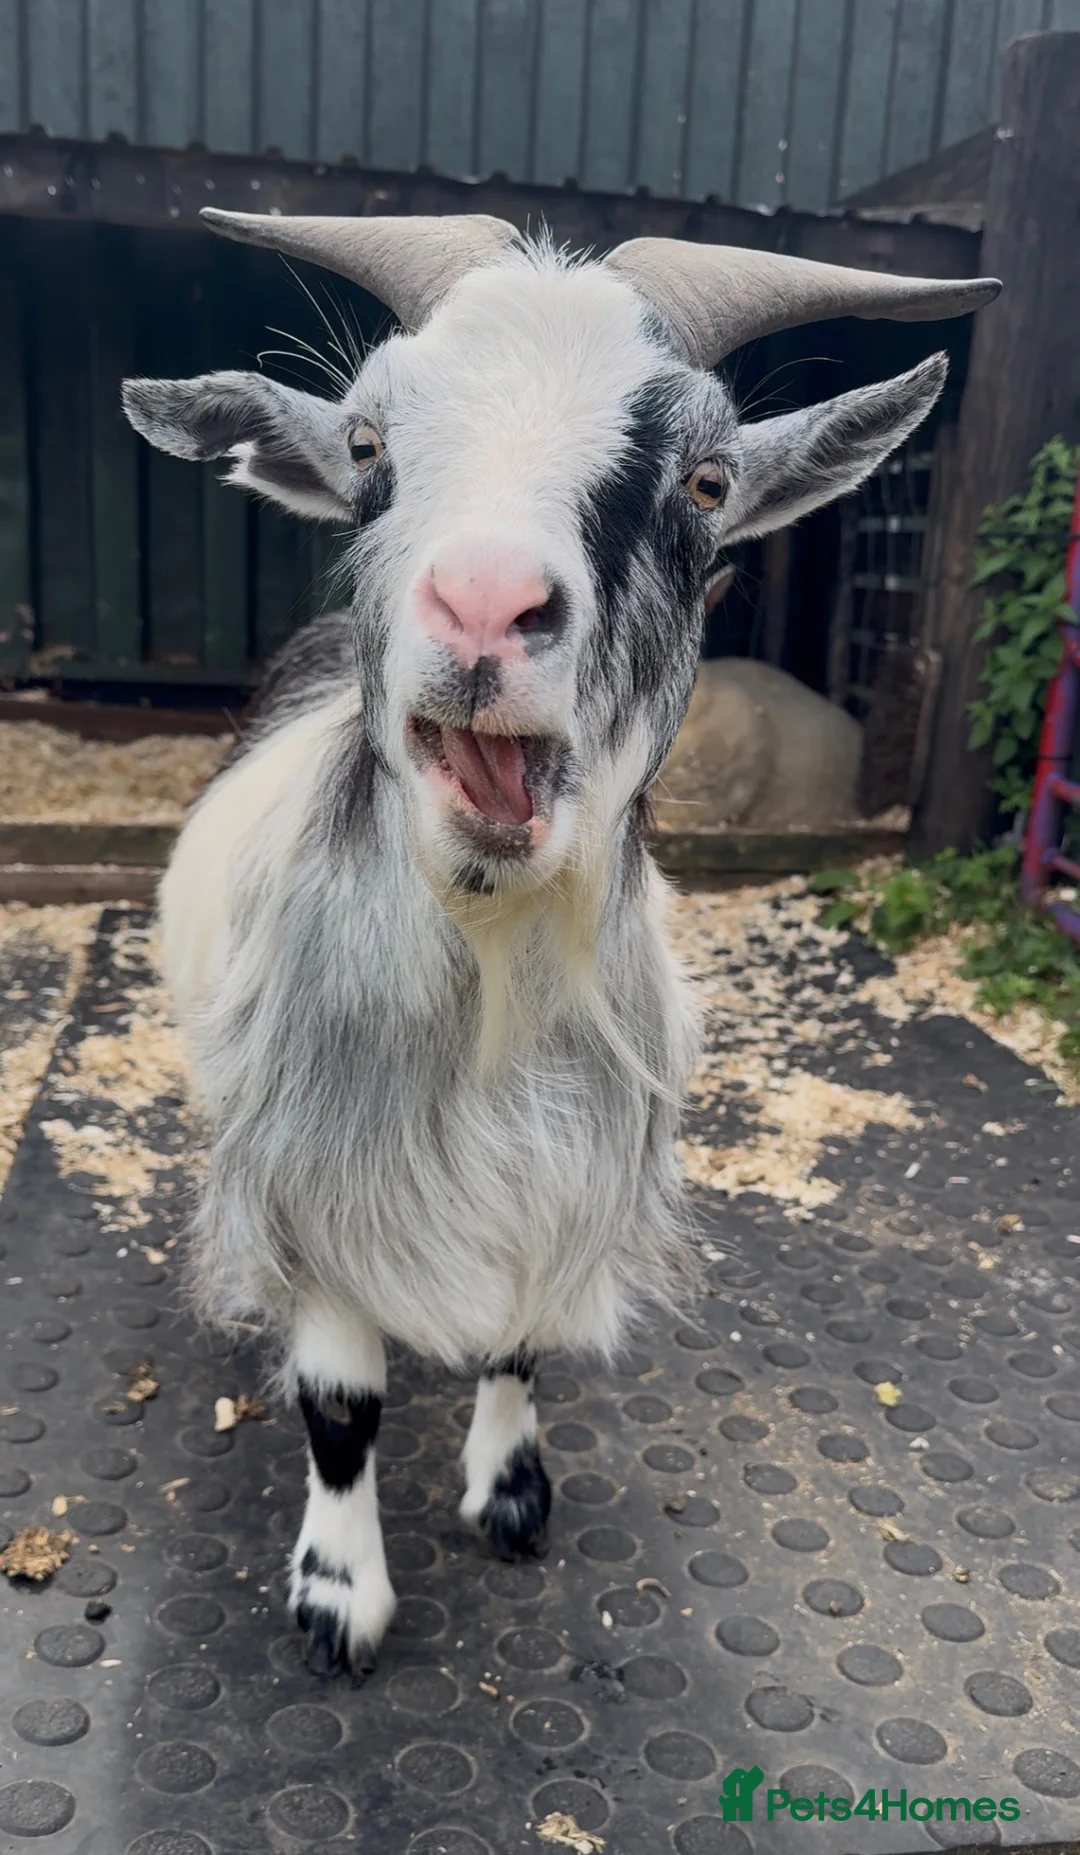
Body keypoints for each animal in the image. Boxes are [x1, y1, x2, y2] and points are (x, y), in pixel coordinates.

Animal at [122, 211, 998, 1679]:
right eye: (370, 447)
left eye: (706, 479)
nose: (482, 605)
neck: (488, 992)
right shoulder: (309, 1174)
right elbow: (342, 1400)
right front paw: (339, 1594)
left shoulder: (568, 1174)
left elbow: (522, 1338)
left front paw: (511, 1493)